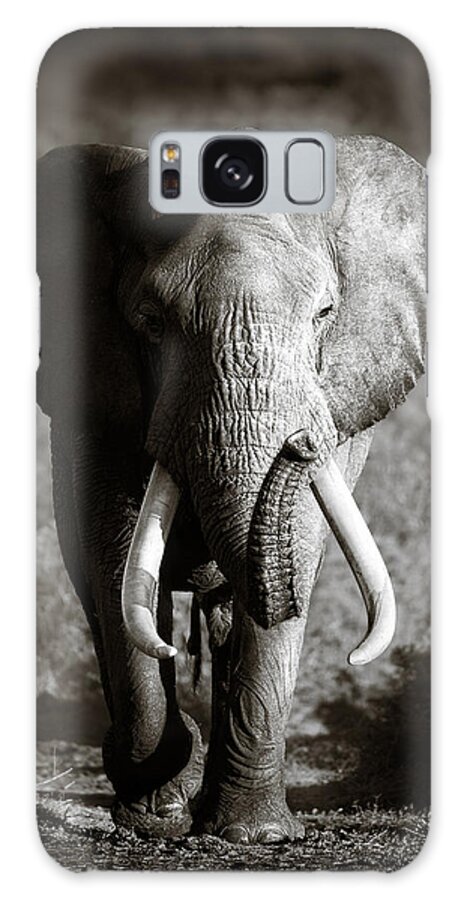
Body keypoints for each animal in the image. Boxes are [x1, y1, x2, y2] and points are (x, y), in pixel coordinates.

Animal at [37, 135, 426, 844]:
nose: (299, 446)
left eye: (325, 315)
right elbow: (117, 560)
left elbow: (297, 551)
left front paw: (255, 834)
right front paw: (160, 814)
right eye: (151, 321)